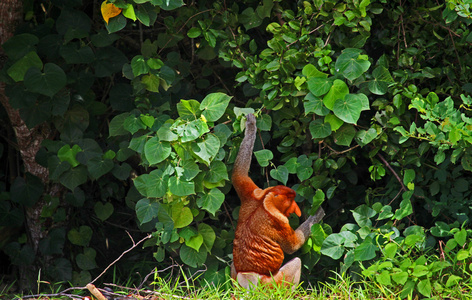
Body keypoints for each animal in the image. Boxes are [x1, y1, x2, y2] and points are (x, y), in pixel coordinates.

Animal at [231, 113, 324, 290]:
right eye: (291, 200)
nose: (295, 209)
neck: (265, 201)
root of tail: (248, 278)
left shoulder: (252, 193)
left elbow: (239, 174)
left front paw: (251, 125)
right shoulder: (280, 221)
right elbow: (293, 246)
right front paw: (318, 213)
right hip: (274, 283)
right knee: (296, 262)